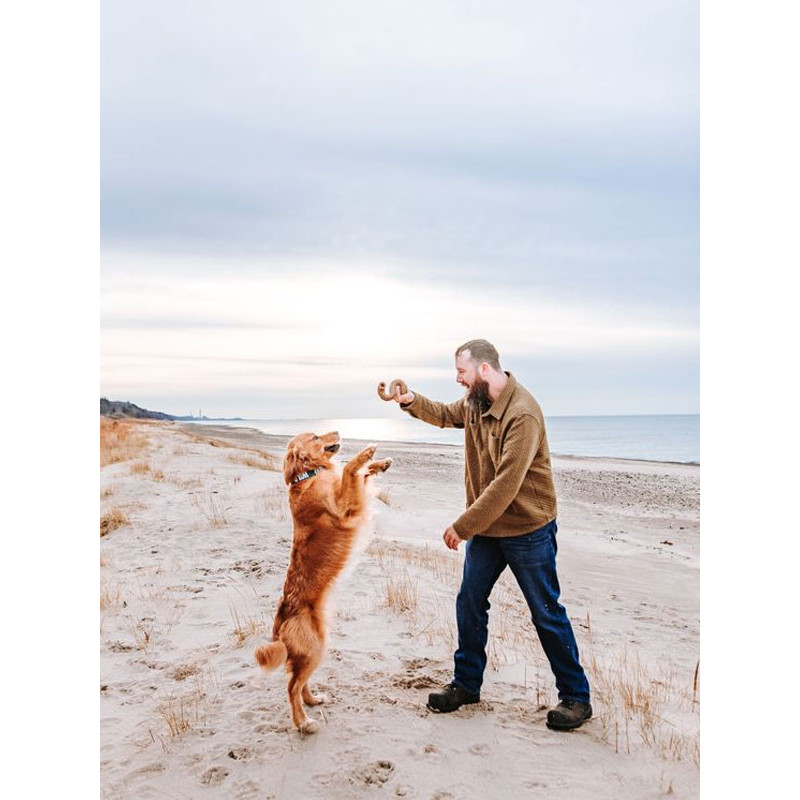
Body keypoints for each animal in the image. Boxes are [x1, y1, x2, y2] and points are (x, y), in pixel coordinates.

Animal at [255, 432, 392, 732]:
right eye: (316, 436)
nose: (337, 432)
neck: (307, 476)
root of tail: (279, 625)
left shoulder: (350, 494)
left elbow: (361, 474)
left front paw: (381, 463)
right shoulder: (343, 504)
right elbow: (351, 469)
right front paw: (366, 453)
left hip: (317, 648)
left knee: (299, 681)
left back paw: (312, 700)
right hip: (315, 648)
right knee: (291, 687)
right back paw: (303, 723)